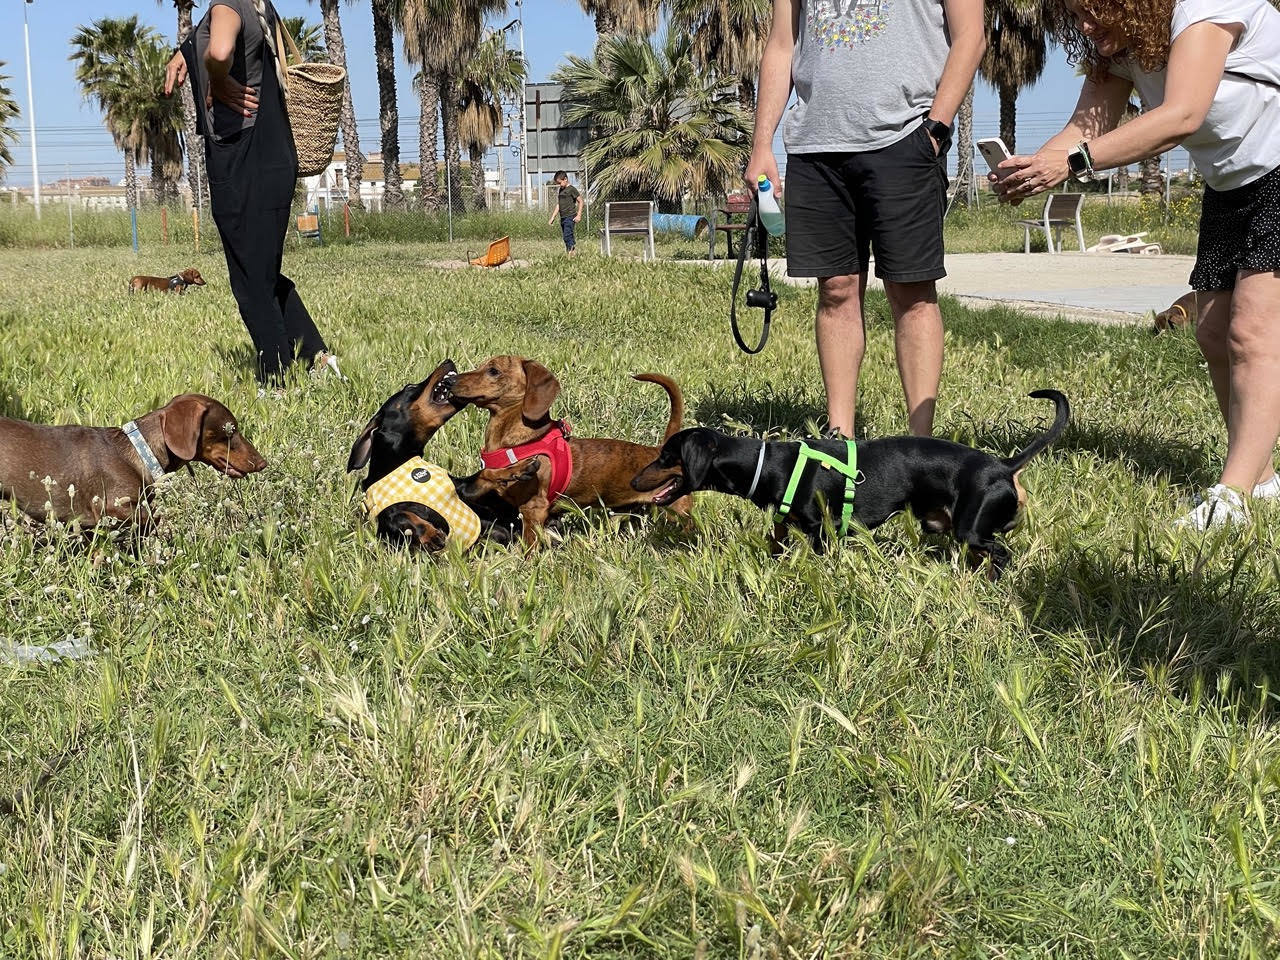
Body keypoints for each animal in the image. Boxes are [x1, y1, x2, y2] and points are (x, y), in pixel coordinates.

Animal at [448, 355, 691, 547]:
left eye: (493, 370)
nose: (450, 380)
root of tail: (658, 450)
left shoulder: (533, 509)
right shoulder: (480, 489)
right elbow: (486, 475)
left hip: (678, 511)